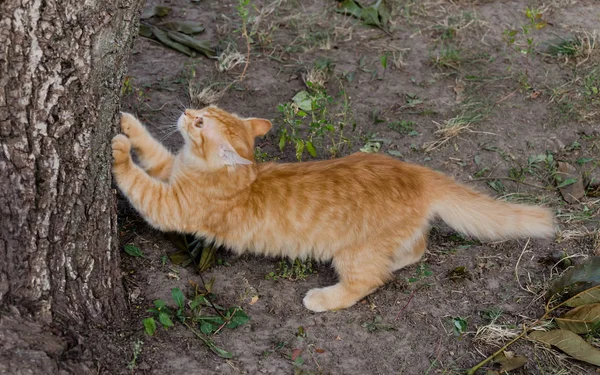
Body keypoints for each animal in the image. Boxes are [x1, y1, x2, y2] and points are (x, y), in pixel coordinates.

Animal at [111, 107, 552, 312]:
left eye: (201, 122)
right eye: (202, 109)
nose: (187, 111)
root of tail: (415, 171)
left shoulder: (168, 205)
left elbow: (135, 178)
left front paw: (117, 149)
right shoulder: (168, 170)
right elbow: (151, 148)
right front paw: (129, 125)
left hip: (354, 253)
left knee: (369, 280)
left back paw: (324, 298)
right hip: (395, 238)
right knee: (416, 248)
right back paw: (398, 259)